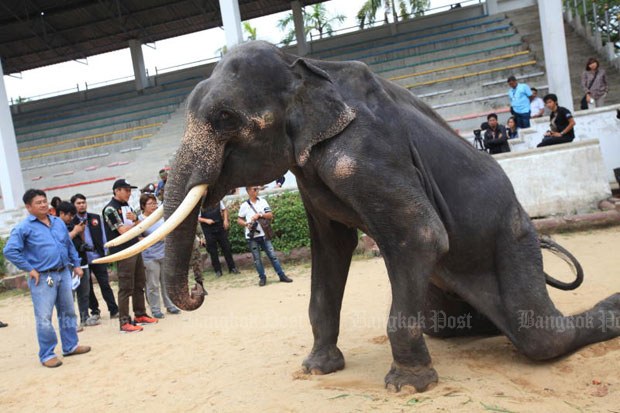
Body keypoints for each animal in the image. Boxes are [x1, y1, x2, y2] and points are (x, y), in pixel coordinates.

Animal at [98, 41, 620, 392]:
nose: (202, 289)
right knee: (455, 323)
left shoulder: (365, 150)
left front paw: (407, 386)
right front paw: (316, 369)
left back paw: (609, 309)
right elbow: (332, 248)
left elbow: (420, 235)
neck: (301, 66)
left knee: (540, 337)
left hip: (512, 237)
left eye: (225, 119)